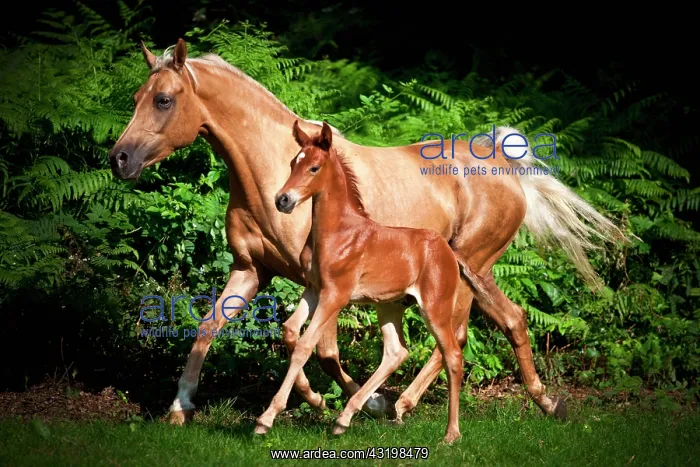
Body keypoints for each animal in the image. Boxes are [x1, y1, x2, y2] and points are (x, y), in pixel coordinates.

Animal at [256, 120, 486, 442]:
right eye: (293, 163)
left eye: (314, 167)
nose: (283, 200)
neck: (338, 232)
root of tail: (449, 251)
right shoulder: (314, 290)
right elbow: (290, 330)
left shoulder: (335, 295)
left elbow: (305, 345)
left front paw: (265, 419)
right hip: (389, 306)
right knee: (396, 352)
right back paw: (345, 419)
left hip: (435, 307)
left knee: (452, 355)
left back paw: (451, 434)